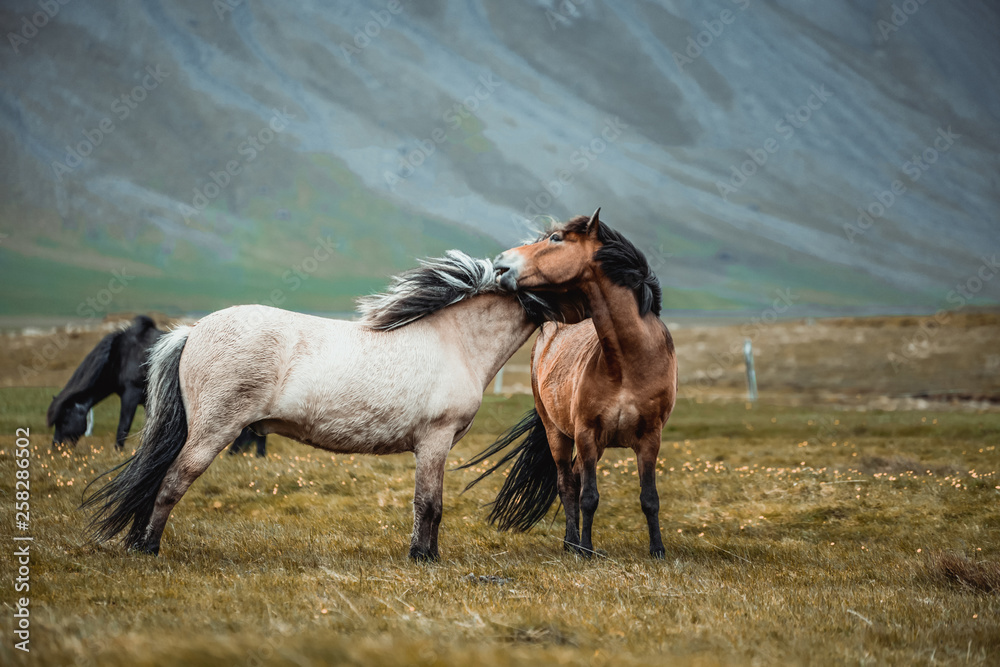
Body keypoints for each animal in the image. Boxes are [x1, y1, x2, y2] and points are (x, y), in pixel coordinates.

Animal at [47, 316, 268, 456]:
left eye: (64, 420)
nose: (56, 449)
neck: (120, 356)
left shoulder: (131, 394)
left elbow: (123, 426)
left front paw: (118, 452)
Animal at [86, 249, 588, 560]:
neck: (456, 341)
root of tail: (192, 332)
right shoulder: (436, 441)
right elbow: (430, 504)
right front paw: (424, 558)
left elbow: (426, 505)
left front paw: (423, 553)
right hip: (213, 432)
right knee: (172, 481)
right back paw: (148, 548)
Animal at [464, 209, 676, 560]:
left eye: (556, 238)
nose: (501, 262)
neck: (627, 364)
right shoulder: (586, 434)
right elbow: (587, 496)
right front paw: (586, 549)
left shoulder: (650, 437)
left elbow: (650, 498)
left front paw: (657, 550)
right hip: (558, 434)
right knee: (567, 484)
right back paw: (572, 543)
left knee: (574, 481)